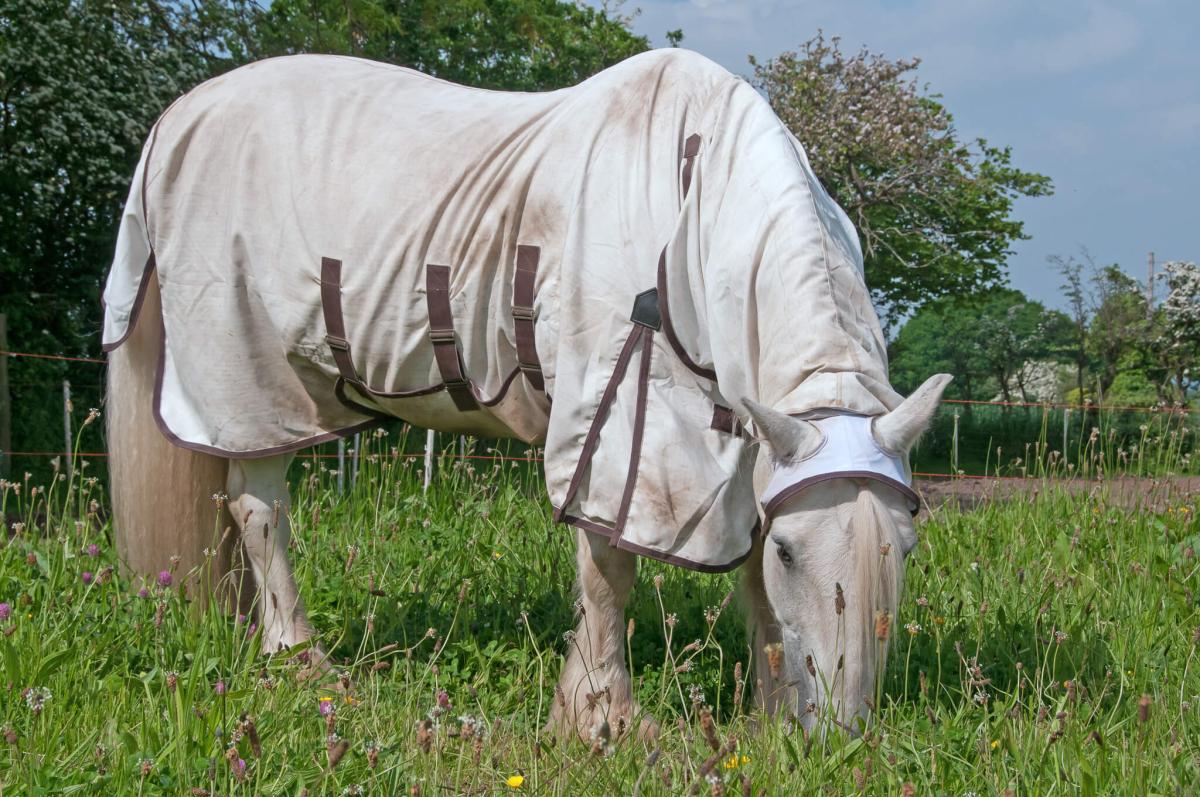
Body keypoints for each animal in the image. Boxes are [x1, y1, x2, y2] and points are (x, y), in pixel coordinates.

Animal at [103, 48, 950, 740]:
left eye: (904, 547)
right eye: (790, 552)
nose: (839, 734)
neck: (693, 198)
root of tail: (179, 117)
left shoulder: (739, 446)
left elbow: (751, 591)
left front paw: (769, 716)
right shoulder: (620, 419)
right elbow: (611, 573)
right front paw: (601, 716)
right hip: (251, 378)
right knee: (260, 510)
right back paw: (299, 657)